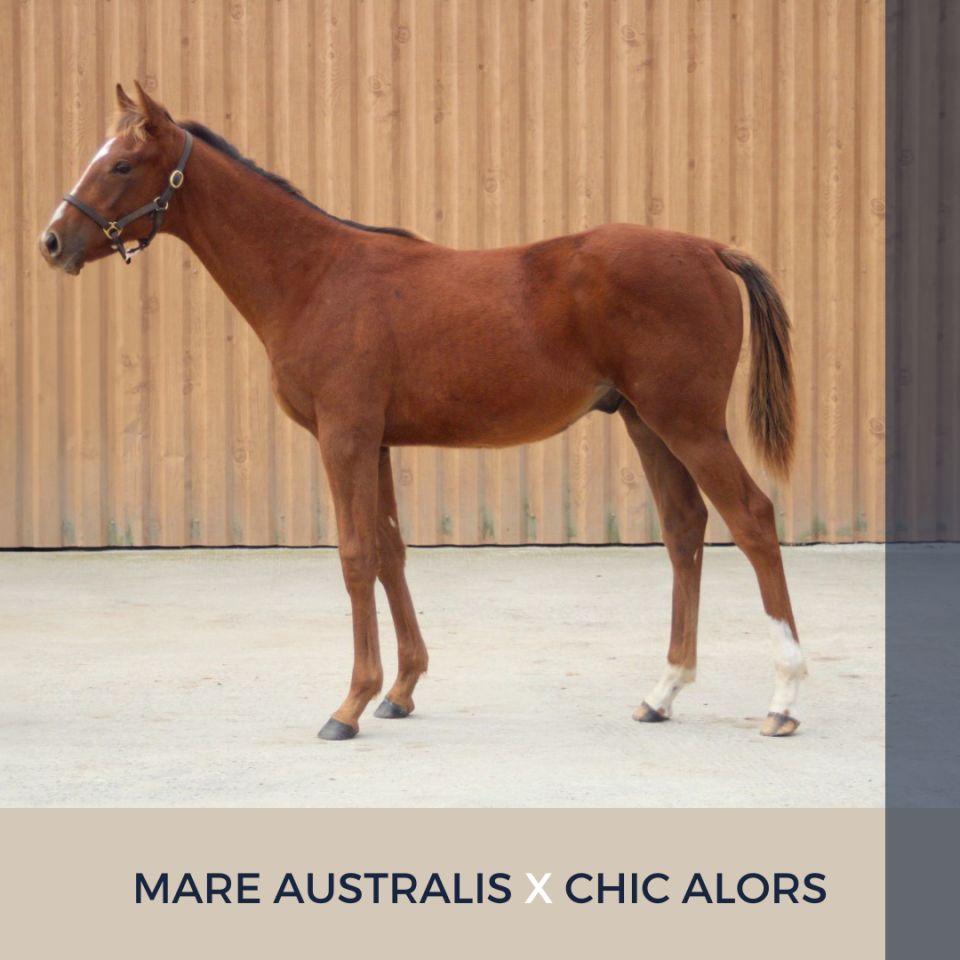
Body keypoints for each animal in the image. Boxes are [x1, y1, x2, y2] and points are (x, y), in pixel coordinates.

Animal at [40, 82, 806, 741]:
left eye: (121, 164)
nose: (51, 241)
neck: (314, 276)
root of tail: (709, 249)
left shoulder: (344, 437)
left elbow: (354, 557)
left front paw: (349, 704)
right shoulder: (376, 442)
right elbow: (390, 553)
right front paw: (400, 691)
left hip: (689, 424)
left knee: (752, 519)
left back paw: (783, 699)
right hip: (647, 423)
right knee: (684, 530)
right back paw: (663, 692)